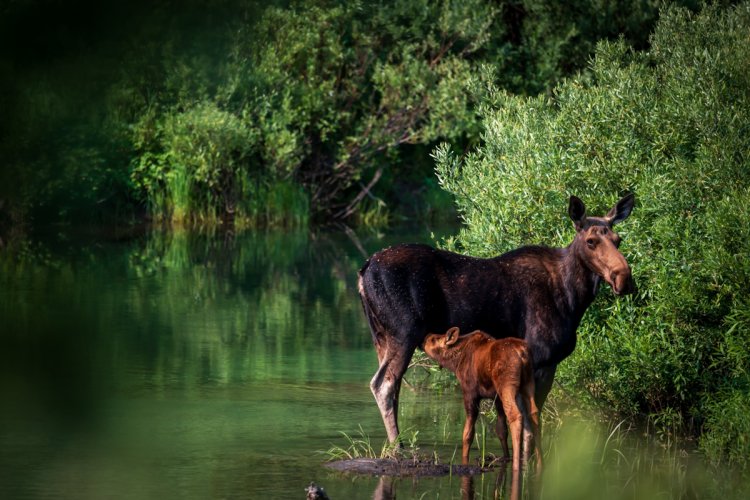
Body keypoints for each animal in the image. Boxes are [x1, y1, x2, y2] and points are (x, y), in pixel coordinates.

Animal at [356, 193, 636, 444]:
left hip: (380, 336)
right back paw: (399, 448)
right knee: (383, 385)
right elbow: (530, 425)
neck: (573, 298)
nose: (624, 279)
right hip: (404, 333)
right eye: (591, 241)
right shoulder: (539, 358)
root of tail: (364, 270)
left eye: (618, 239)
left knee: (392, 386)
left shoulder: (547, 363)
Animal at [424, 326, 540, 470]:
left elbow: (467, 434)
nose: (426, 337)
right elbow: (501, 430)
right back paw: (540, 462)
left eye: (434, 339)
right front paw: (505, 457)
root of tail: (522, 353)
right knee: (534, 412)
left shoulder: (470, 393)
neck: (455, 362)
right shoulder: (496, 397)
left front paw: (464, 458)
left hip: (507, 385)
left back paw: (516, 464)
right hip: (528, 383)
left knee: (515, 415)